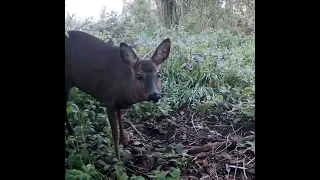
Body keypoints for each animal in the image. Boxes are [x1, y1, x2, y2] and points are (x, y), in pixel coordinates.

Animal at [63, 30, 171, 160]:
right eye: (139, 75)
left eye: (159, 74)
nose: (155, 95)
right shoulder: (108, 100)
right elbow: (114, 133)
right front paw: (118, 159)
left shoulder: (118, 103)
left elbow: (121, 120)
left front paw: (125, 142)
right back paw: (72, 132)